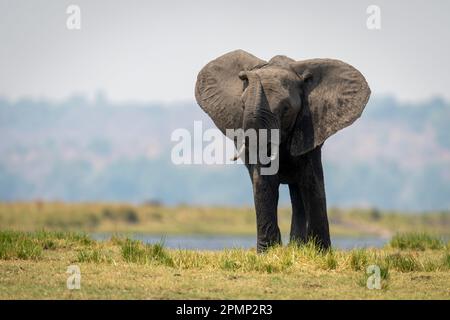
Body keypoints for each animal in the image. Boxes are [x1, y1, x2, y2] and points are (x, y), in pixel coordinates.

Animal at [195, 49, 370, 252]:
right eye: (242, 105)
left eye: (286, 109)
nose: (246, 74)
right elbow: (265, 180)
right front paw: (268, 252)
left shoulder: (310, 126)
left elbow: (311, 180)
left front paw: (321, 251)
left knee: (299, 189)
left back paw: (299, 246)